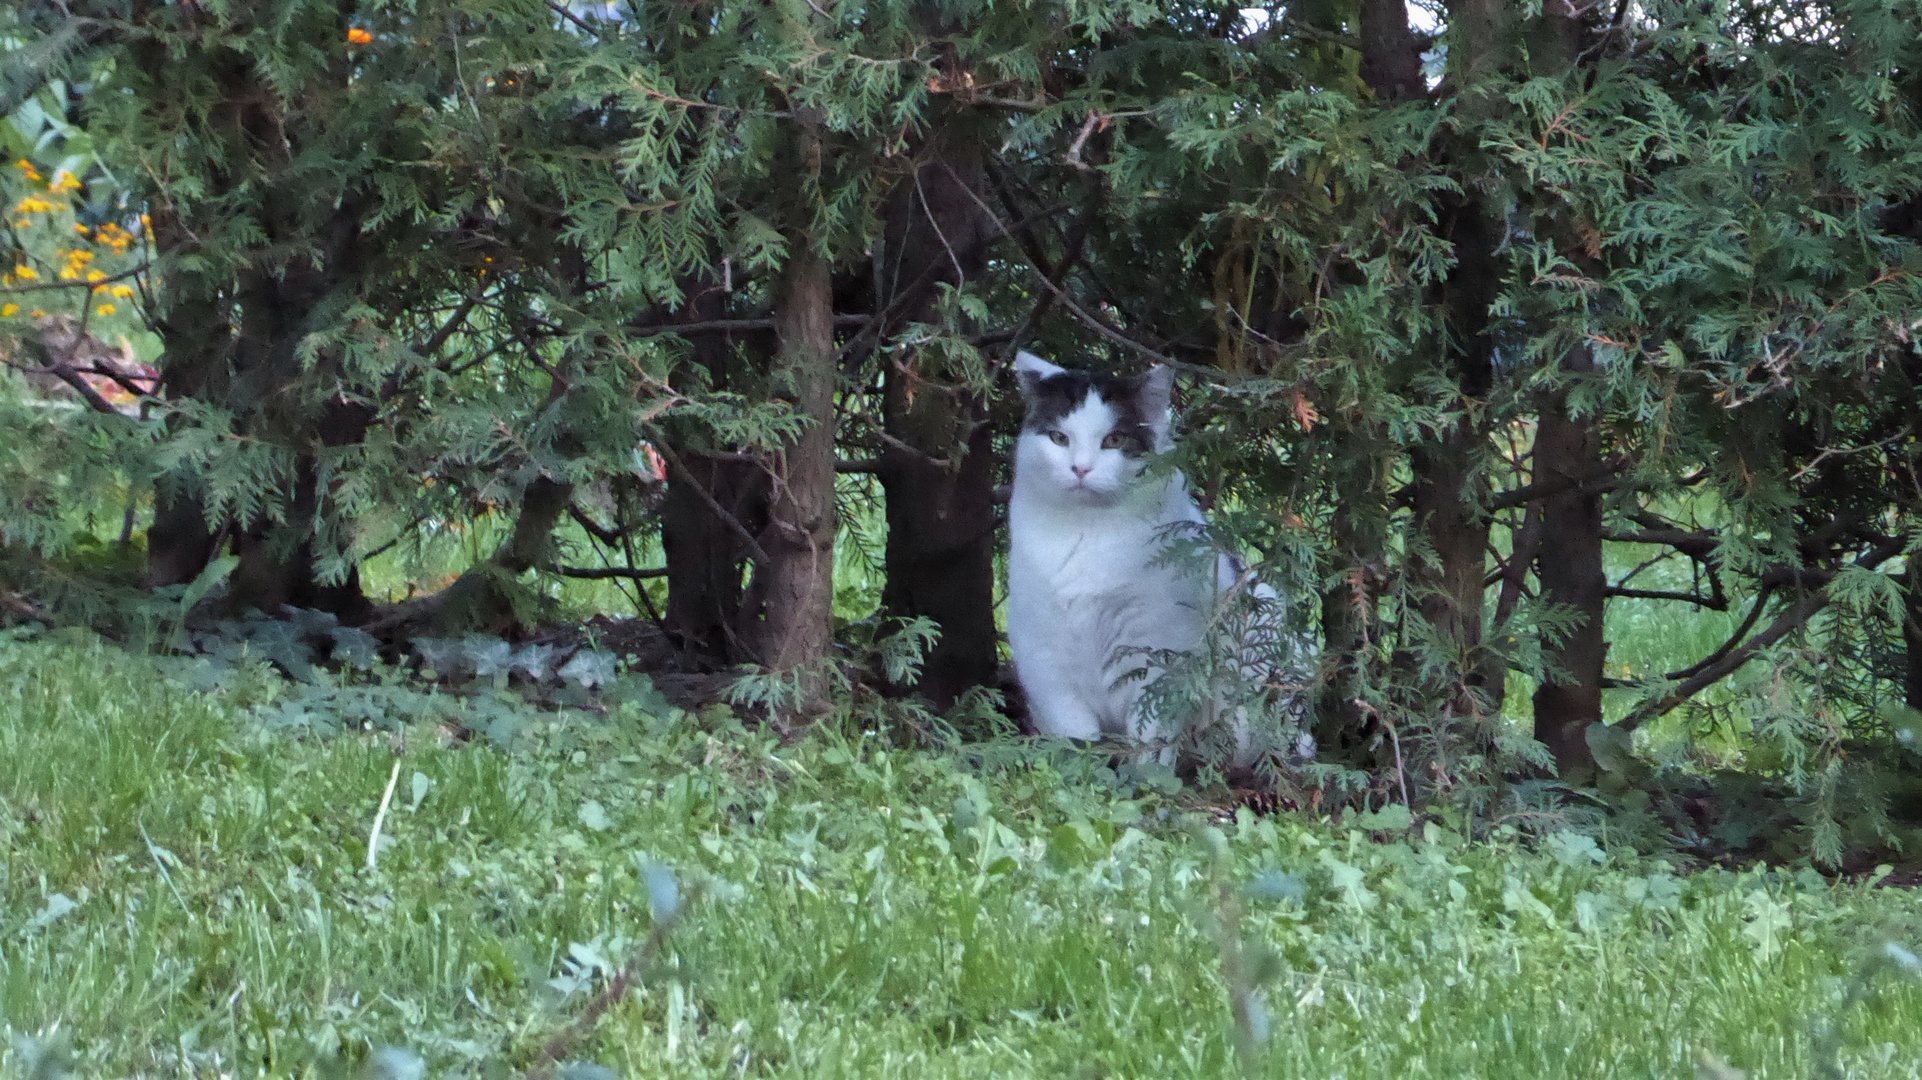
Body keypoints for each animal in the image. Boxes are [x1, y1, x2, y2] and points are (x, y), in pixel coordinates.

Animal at [1007, 349, 1276, 753]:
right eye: (1059, 438)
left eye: (1114, 439)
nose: (1080, 468)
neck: (1086, 532)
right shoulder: (1044, 662)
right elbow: (1075, 739)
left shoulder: (1156, 652)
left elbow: (1151, 741)